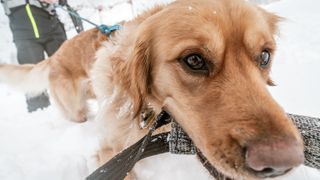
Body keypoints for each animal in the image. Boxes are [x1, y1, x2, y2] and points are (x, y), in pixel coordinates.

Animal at [0, 0, 304, 179]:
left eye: (264, 56)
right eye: (194, 60)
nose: (282, 162)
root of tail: (56, 54)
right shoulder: (107, 151)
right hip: (75, 109)